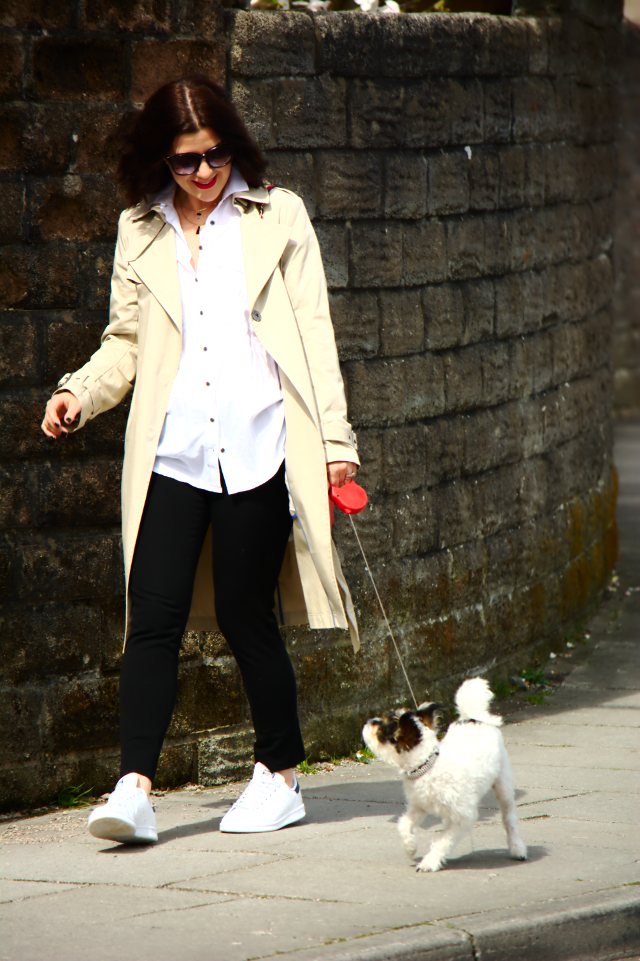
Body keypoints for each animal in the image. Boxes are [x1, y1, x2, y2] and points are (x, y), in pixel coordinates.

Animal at [363, 677, 527, 872]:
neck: (427, 765)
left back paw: (517, 847)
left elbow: (443, 841)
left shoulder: (462, 817)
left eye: (381, 731)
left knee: (509, 819)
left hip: (503, 786)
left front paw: (429, 861)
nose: (368, 721)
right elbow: (404, 823)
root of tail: (472, 719)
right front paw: (410, 846)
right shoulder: (420, 806)